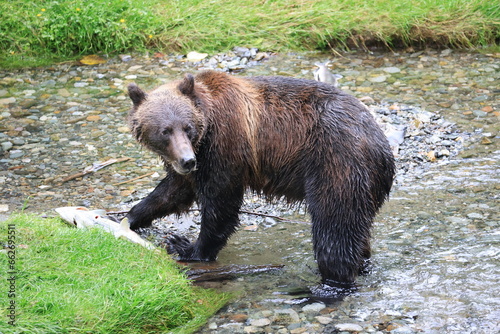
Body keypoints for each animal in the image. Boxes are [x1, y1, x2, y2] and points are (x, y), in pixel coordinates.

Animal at [125, 71, 394, 290]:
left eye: (187, 127)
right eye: (165, 131)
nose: (187, 160)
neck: (207, 124)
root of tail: (382, 146)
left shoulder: (226, 145)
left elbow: (220, 203)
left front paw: (186, 246)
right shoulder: (198, 161)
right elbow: (173, 191)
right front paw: (131, 216)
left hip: (337, 163)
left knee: (334, 229)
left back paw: (329, 285)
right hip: (366, 184)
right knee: (358, 233)